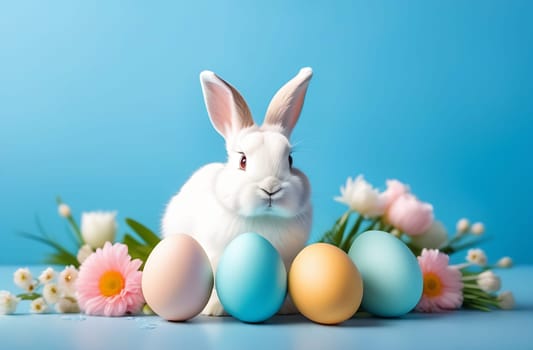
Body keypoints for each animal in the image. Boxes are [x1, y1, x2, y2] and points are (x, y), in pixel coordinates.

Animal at [161, 67, 312, 316]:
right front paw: (213, 309)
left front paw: (287, 308)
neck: (263, 221)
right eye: (243, 161)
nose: (271, 188)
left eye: (290, 160)